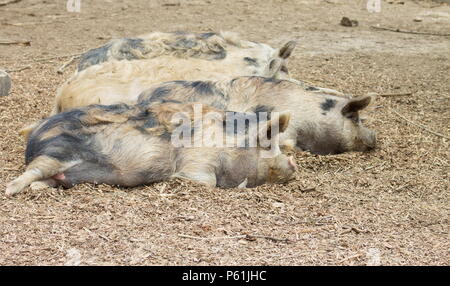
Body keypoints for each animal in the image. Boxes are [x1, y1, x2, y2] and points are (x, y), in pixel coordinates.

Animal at [6, 101, 298, 197]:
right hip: (58, 152)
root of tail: (35, 137)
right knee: (33, 171)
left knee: (48, 180)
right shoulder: (197, 162)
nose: (293, 165)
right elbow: (206, 182)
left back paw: (37, 189)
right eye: (268, 144)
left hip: (63, 171)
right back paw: (12, 190)